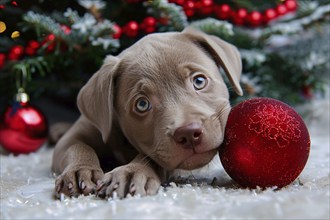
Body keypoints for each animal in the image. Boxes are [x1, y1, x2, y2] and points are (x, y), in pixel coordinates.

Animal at [51, 26, 242, 199]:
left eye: (199, 81)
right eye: (142, 104)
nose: (188, 133)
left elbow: (149, 157)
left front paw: (132, 172)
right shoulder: (74, 136)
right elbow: (77, 146)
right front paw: (79, 170)